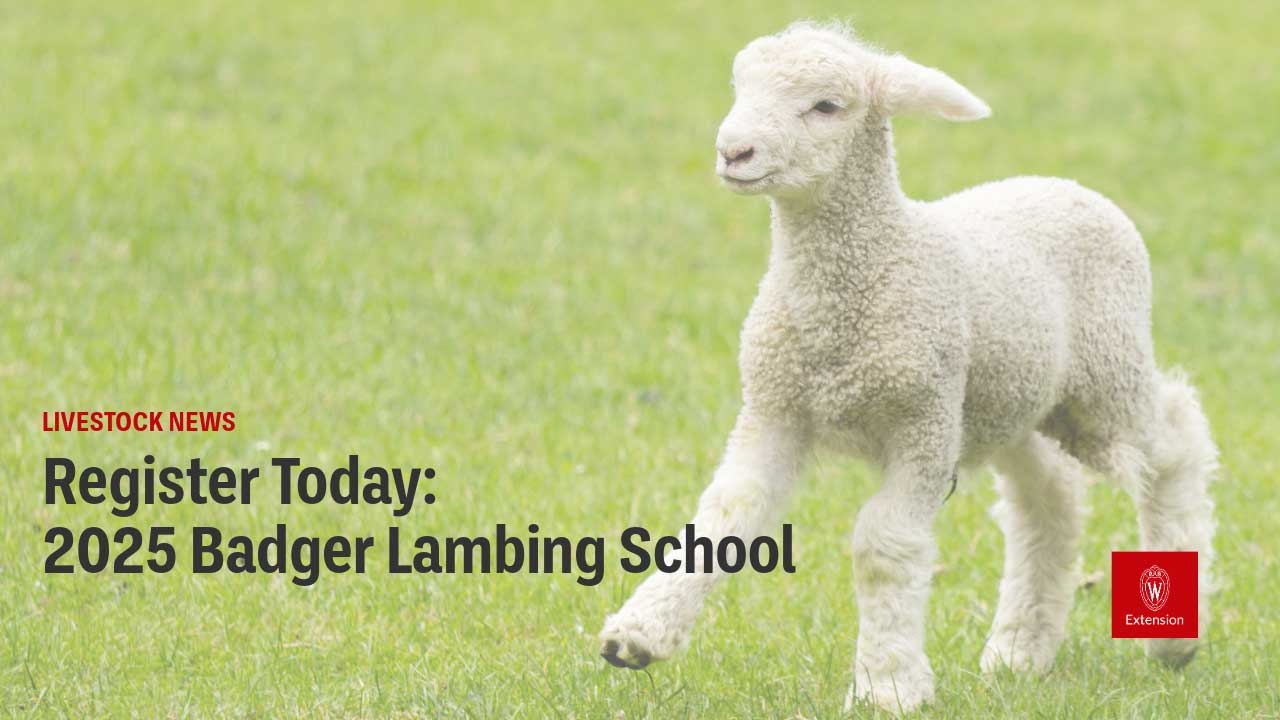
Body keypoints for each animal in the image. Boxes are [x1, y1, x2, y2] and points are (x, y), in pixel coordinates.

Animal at [593, 20, 1213, 712]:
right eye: (740, 86)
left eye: (827, 105)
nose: (734, 152)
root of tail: (1069, 186)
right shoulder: (775, 408)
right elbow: (724, 514)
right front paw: (639, 635)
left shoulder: (923, 420)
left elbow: (883, 545)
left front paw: (886, 684)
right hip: (1008, 399)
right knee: (1047, 498)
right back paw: (1021, 648)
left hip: (1104, 374)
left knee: (1174, 444)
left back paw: (1175, 637)